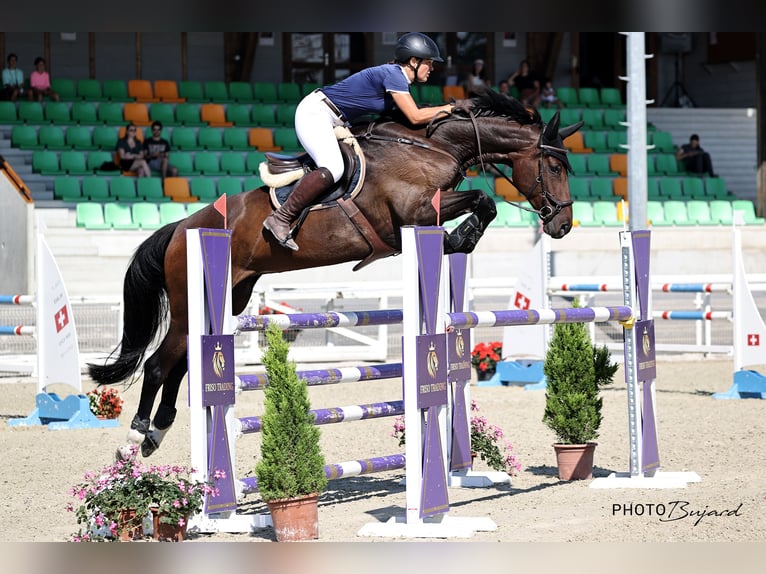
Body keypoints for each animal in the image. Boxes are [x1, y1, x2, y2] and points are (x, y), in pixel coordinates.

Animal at [88, 91, 584, 460]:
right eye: (554, 166)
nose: (562, 225)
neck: (432, 146)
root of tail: (181, 227)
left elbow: (483, 202)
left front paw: (458, 241)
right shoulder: (413, 213)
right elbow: (484, 199)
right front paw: (459, 239)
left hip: (229, 296)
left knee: (182, 362)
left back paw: (158, 431)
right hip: (191, 303)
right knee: (158, 364)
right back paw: (136, 436)